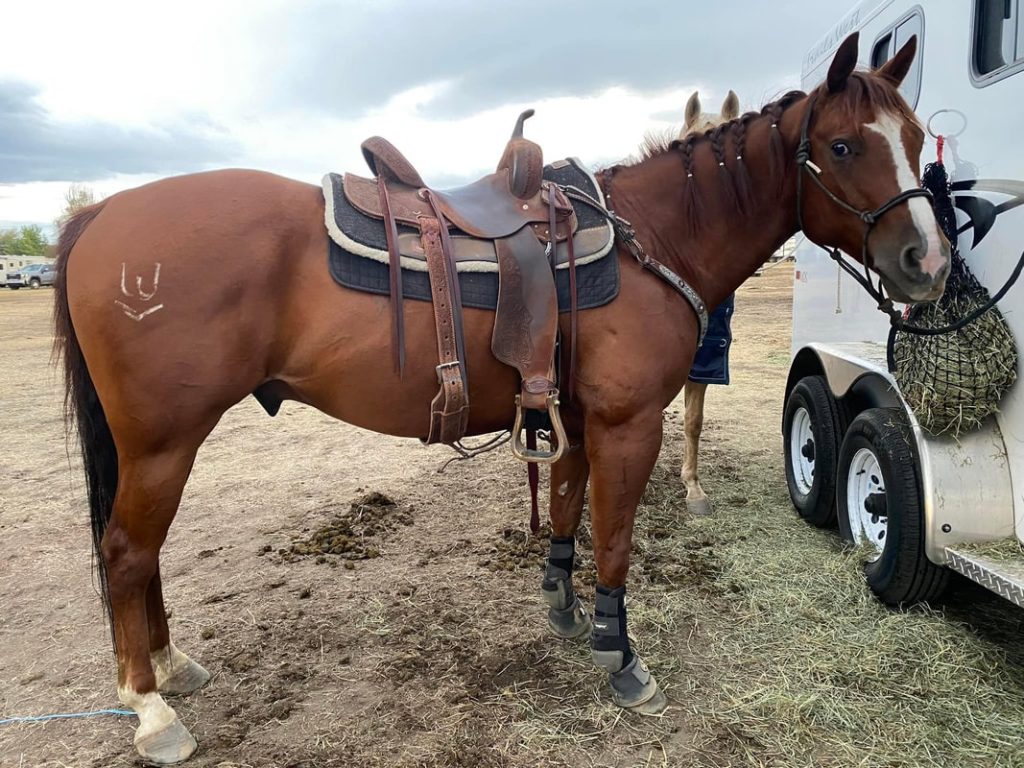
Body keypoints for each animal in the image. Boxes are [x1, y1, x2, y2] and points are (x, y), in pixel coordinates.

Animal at [52, 33, 947, 763]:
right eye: (842, 145)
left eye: (917, 142)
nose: (929, 262)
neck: (650, 238)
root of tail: (102, 213)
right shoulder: (628, 425)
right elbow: (614, 539)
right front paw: (621, 657)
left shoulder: (576, 418)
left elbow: (566, 510)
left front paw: (562, 606)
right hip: (164, 442)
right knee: (127, 553)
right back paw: (152, 709)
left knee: (141, 556)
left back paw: (171, 667)